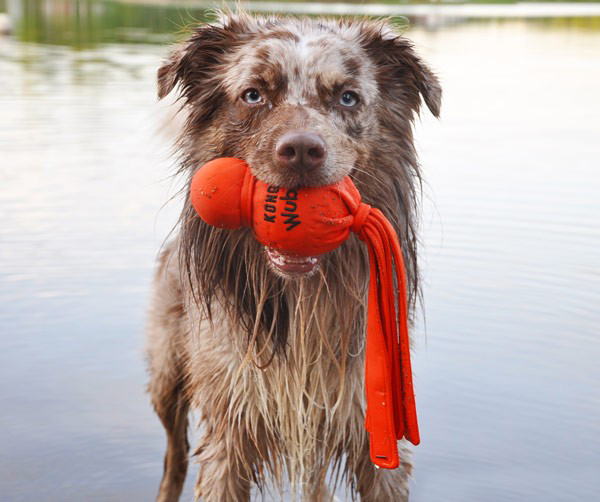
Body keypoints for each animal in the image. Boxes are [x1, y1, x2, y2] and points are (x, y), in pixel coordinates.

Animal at [149, 11, 440, 502]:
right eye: (253, 94)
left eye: (347, 97)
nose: (302, 151)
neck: (301, 297)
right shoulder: (229, 429)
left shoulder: (371, 424)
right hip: (167, 378)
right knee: (174, 451)